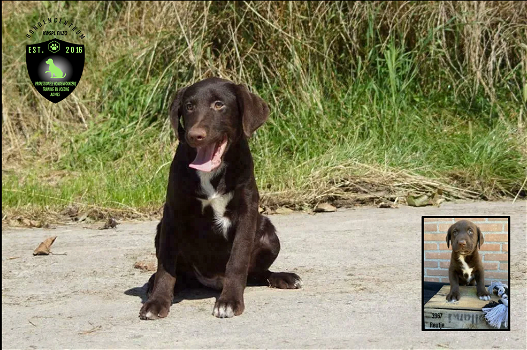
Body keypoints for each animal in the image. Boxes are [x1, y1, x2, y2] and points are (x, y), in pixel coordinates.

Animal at [138, 77, 304, 320]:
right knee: (180, 274)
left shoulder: (247, 213)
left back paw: (283, 277)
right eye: (189, 106)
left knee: (256, 273)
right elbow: (165, 266)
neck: (210, 173)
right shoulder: (172, 214)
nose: (194, 135)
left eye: (219, 105)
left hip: (269, 233)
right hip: (162, 232)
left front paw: (229, 301)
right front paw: (157, 301)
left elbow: (238, 260)